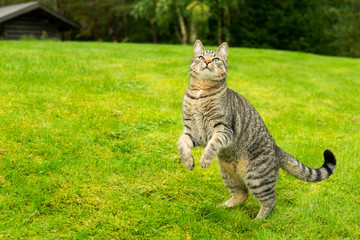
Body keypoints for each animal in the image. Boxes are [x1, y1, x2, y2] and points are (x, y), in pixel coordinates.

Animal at [179, 39, 336, 219]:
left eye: (216, 59)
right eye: (200, 57)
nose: (206, 62)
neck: (200, 92)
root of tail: (276, 147)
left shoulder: (224, 130)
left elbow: (212, 145)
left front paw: (204, 160)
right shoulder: (192, 131)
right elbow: (182, 144)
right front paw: (188, 161)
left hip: (257, 177)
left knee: (270, 200)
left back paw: (257, 220)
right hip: (229, 174)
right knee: (242, 194)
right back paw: (223, 207)